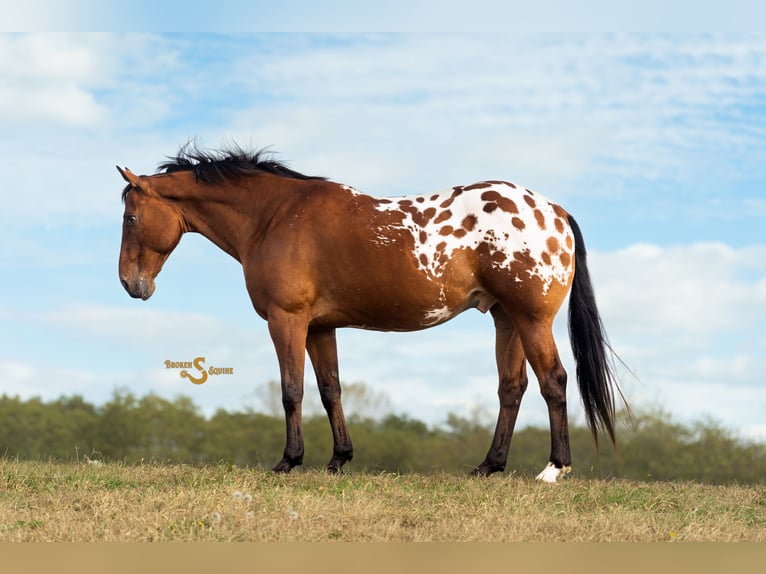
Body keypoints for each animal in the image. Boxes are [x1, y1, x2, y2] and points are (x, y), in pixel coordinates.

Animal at [117, 144, 622, 482]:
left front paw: (288, 461)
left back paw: (554, 469)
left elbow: (291, 391)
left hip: (531, 320)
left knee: (553, 381)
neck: (274, 215)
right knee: (512, 389)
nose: (129, 284)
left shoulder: (288, 320)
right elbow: (330, 391)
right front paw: (338, 459)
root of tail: (553, 211)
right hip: (507, 320)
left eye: (130, 217)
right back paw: (489, 466)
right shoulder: (320, 327)